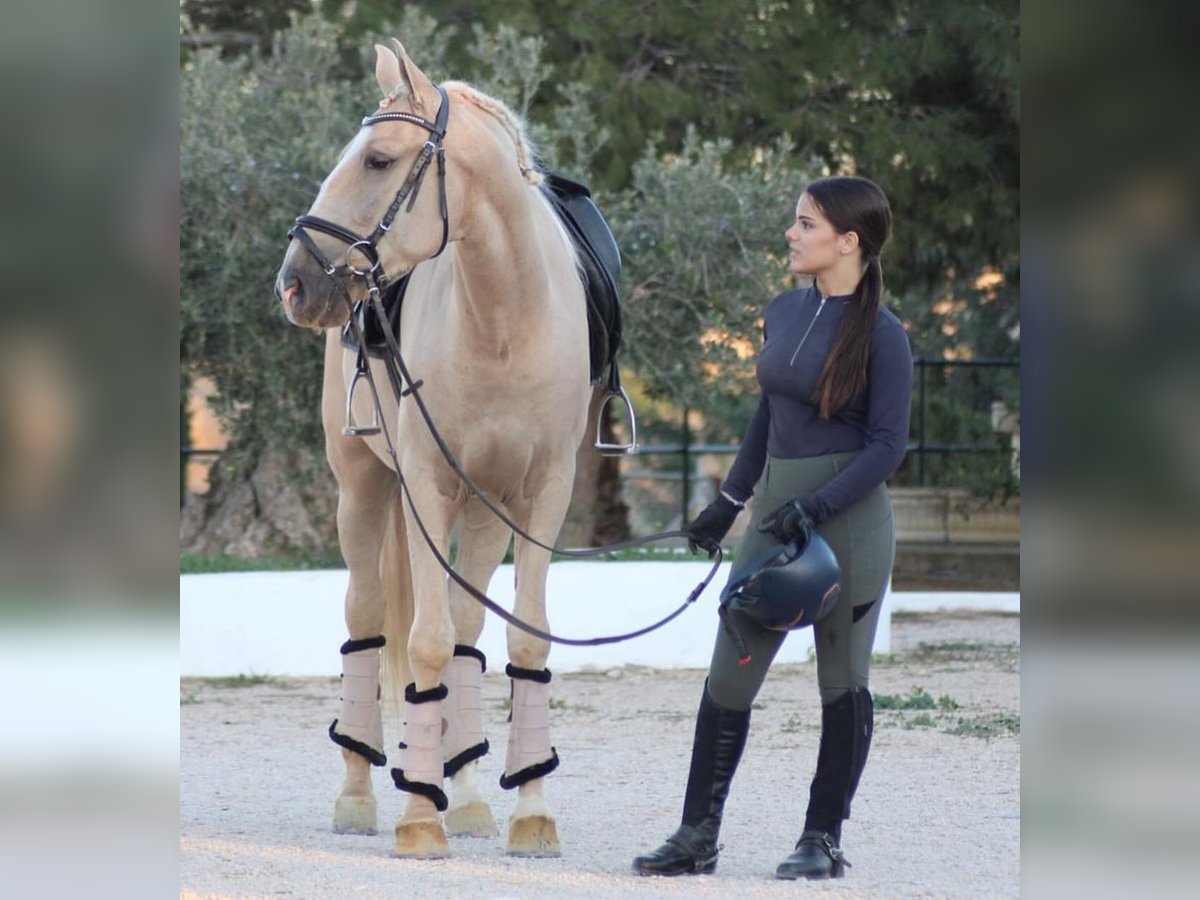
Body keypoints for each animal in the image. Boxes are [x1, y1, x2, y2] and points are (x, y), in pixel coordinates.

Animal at [273, 40, 591, 859]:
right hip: (363, 493)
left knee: (467, 636)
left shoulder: (542, 497)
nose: (294, 284)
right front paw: (419, 818)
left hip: (481, 516)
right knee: (367, 622)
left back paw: (471, 798)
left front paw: (531, 813)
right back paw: (359, 797)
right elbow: (420, 644)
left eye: (379, 160)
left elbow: (521, 642)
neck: (506, 317)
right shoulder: (424, 488)